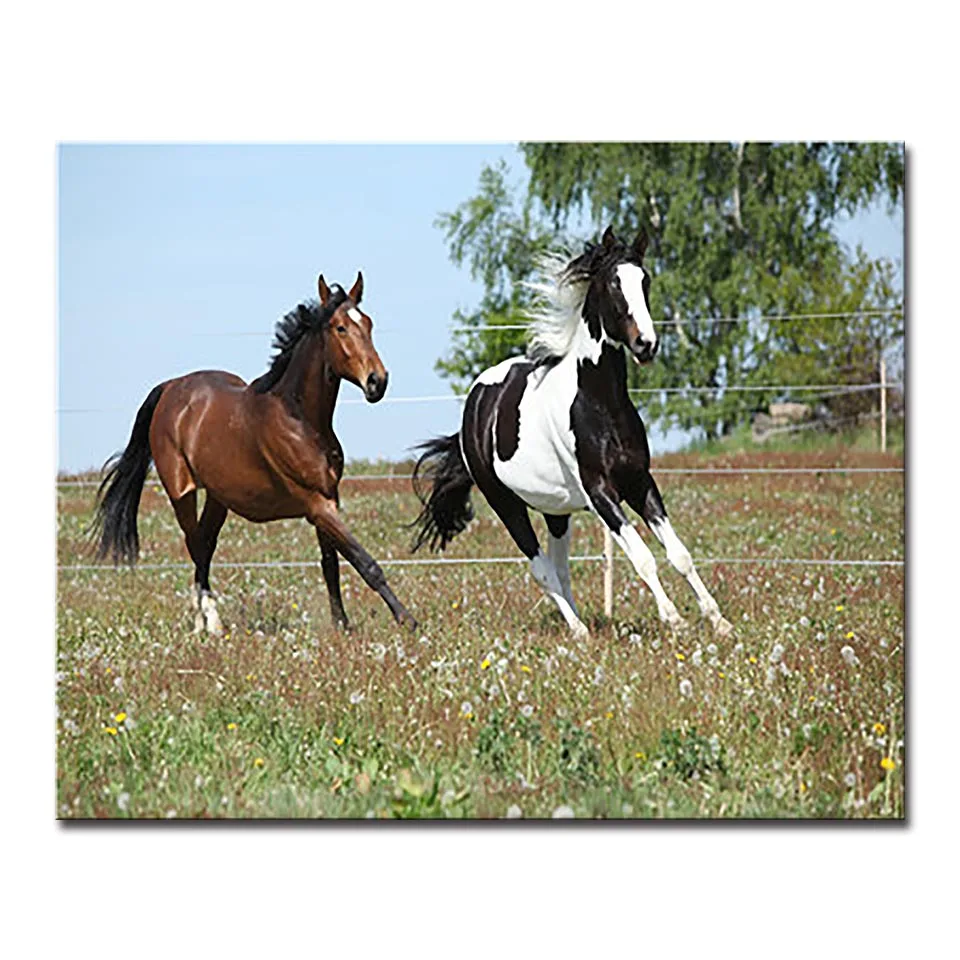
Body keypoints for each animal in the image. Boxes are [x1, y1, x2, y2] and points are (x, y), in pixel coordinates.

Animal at [93, 272, 417, 635]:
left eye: (369, 324)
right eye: (340, 328)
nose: (378, 382)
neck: (300, 419)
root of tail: (171, 387)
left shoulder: (329, 497)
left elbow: (331, 563)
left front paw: (341, 626)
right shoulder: (315, 504)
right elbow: (364, 561)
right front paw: (407, 620)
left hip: (218, 498)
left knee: (204, 544)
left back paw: (209, 621)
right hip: (181, 492)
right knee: (194, 544)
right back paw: (206, 622)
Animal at [411, 227, 732, 639]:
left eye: (645, 280)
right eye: (613, 283)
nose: (646, 344)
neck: (600, 405)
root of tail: (476, 405)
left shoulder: (640, 483)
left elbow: (679, 554)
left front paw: (718, 620)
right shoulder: (601, 494)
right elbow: (643, 558)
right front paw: (674, 618)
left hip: (556, 511)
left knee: (560, 569)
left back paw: (583, 629)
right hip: (506, 504)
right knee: (542, 568)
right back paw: (578, 630)